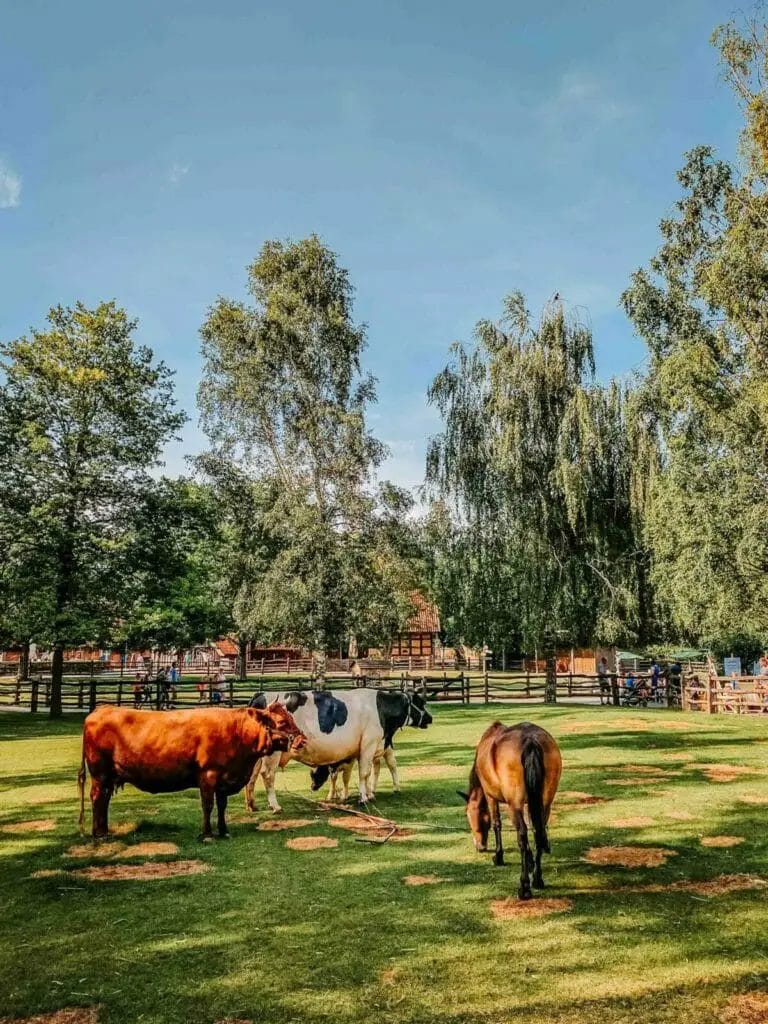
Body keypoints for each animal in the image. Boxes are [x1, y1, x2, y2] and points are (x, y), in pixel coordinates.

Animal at [77, 704, 307, 839]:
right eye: (282, 722)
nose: (302, 740)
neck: (237, 733)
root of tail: (100, 709)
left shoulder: (224, 780)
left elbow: (221, 806)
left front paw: (224, 831)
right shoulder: (208, 775)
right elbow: (208, 806)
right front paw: (207, 834)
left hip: (108, 777)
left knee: (104, 800)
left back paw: (103, 830)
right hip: (100, 775)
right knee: (97, 798)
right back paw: (99, 834)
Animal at [247, 684, 434, 811]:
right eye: (420, 702)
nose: (430, 718)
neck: (379, 708)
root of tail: (261, 695)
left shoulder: (362, 750)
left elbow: (361, 774)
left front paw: (367, 794)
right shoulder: (368, 744)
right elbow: (364, 773)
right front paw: (363, 798)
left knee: (252, 775)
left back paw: (252, 805)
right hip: (273, 753)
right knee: (267, 774)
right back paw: (275, 806)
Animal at [460, 720, 561, 897]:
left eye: (469, 816)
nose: (480, 847)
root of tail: (530, 740)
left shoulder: (491, 796)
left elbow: (496, 824)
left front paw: (498, 857)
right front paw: (531, 862)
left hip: (515, 804)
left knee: (522, 834)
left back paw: (524, 887)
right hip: (545, 802)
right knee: (538, 831)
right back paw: (537, 879)